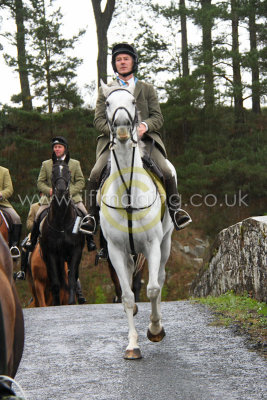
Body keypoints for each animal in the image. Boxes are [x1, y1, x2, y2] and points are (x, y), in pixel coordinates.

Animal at [99, 81, 175, 360]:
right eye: (107, 103)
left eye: (132, 101)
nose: (122, 127)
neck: (129, 192)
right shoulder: (116, 251)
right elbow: (128, 297)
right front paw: (132, 346)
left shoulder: (152, 245)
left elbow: (152, 289)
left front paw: (155, 330)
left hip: (165, 243)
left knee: (159, 280)